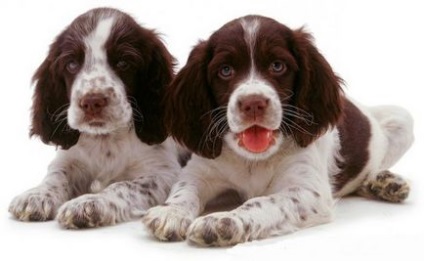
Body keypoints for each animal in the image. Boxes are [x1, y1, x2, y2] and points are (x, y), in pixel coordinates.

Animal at [8, 7, 181, 228]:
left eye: (123, 62)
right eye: (72, 64)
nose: (92, 102)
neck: (104, 139)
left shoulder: (163, 173)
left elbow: (122, 186)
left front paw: (91, 202)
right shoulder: (67, 158)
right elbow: (56, 176)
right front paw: (37, 195)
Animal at [143, 14, 414, 246]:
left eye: (277, 66)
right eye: (225, 70)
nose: (253, 103)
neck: (253, 160)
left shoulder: (308, 191)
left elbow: (263, 202)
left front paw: (223, 221)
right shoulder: (200, 171)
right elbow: (184, 189)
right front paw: (171, 212)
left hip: (403, 119)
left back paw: (384, 182)